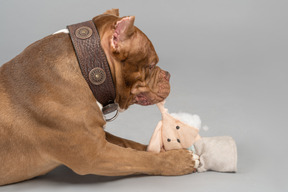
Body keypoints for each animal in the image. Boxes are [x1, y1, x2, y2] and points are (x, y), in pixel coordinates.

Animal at [0, 9, 198, 186]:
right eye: (151, 65)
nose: (168, 75)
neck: (86, 70)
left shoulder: (99, 137)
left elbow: (131, 144)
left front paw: (161, 149)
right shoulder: (96, 155)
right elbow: (138, 158)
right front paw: (177, 160)